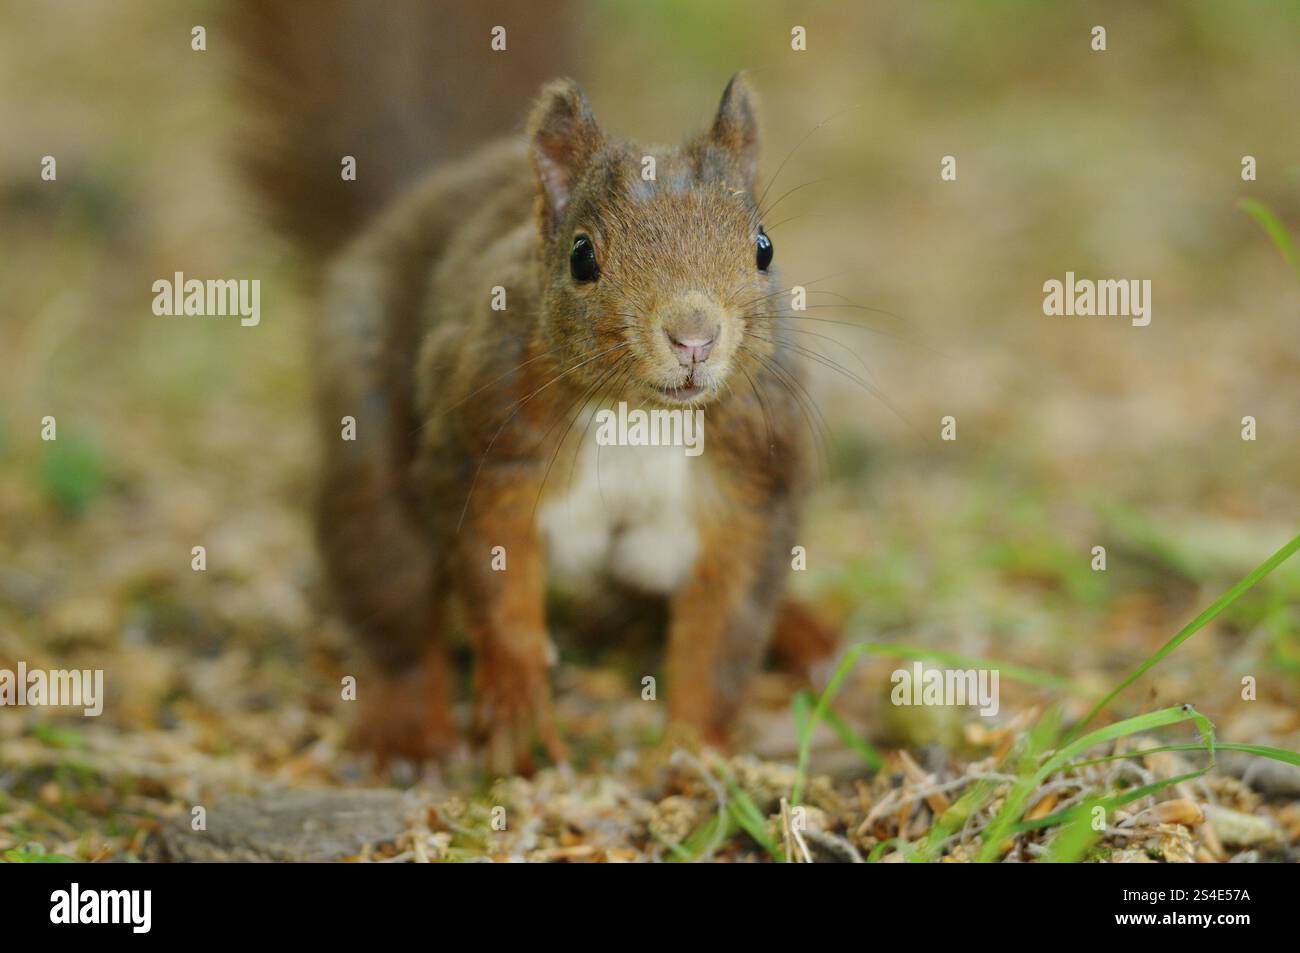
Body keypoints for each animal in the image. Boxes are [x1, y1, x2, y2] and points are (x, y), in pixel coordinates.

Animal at [230, 2, 838, 773]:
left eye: (763, 248)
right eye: (582, 257)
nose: (694, 337)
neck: (637, 414)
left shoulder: (752, 476)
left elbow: (725, 628)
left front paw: (694, 750)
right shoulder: (486, 445)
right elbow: (499, 584)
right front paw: (518, 711)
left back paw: (806, 633)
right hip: (368, 452)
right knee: (392, 597)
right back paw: (408, 732)